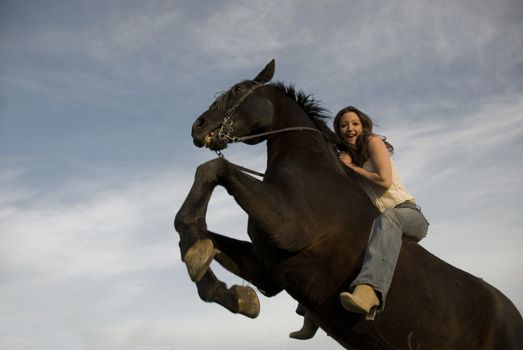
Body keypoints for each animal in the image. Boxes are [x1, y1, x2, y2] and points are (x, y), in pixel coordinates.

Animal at [174, 60, 520, 350]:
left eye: (238, 90)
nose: (197, 126)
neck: (311, 168)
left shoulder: (289, 227)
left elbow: (212, 169)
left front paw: (196, 257)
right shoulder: (266, 269)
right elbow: (211, 242)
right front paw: (236, 294)